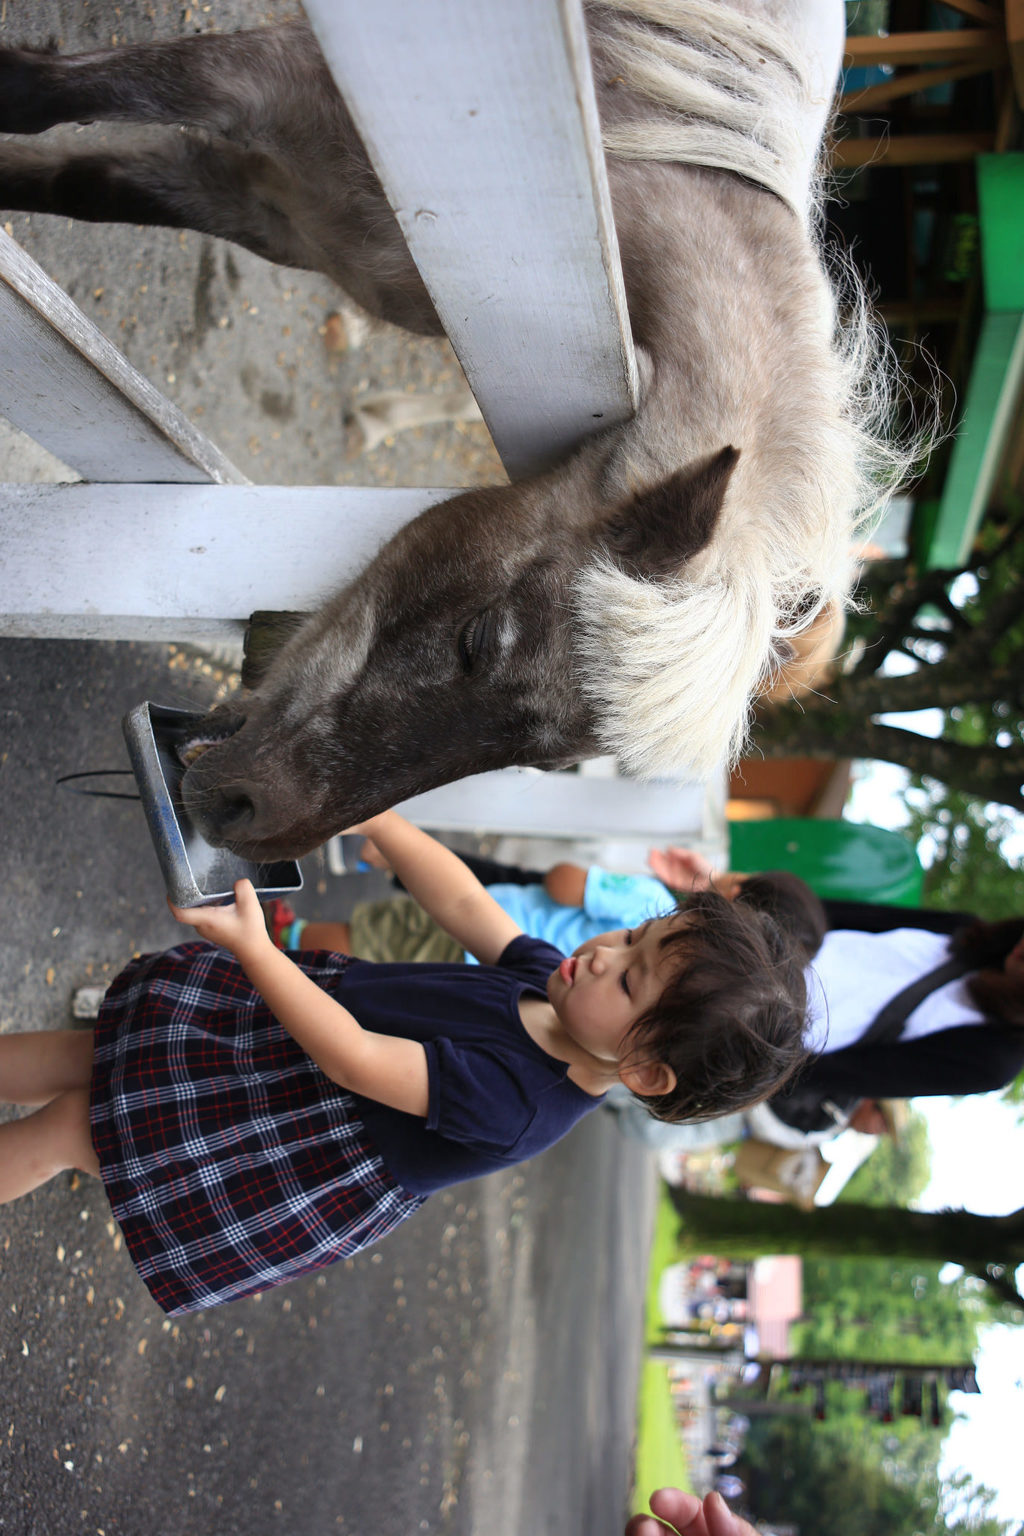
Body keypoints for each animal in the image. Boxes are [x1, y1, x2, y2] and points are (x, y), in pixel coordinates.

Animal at [0, 3, 914, 866]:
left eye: (547, 763)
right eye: (478, 638)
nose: (245, 818)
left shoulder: (266, 205)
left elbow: (80, 181)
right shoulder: (260, 89)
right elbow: (55, 111)